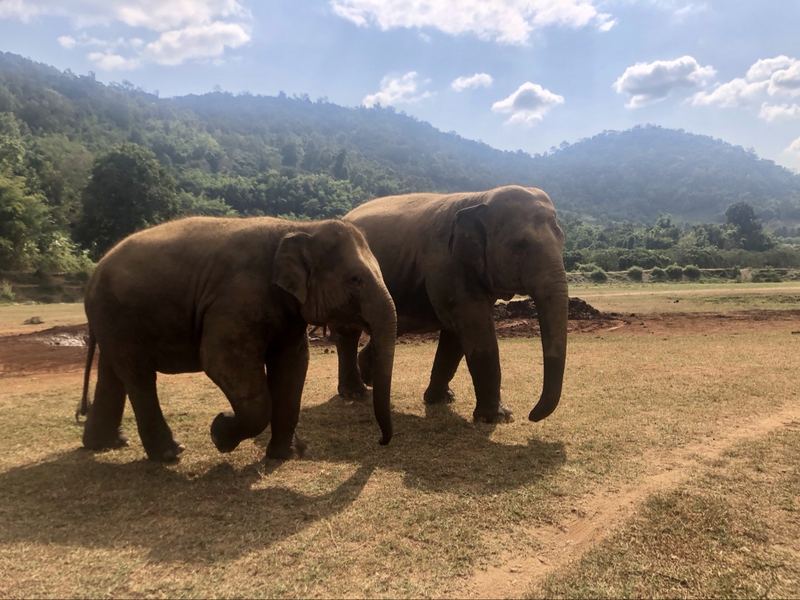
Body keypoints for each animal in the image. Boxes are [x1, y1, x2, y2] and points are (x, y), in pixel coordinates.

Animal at [77, 216, 397, 462]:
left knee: (113, 373)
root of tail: (93, 275)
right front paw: (220, 434)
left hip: (114, 320)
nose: (381, 441)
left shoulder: (288, 314)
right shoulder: (236, 299)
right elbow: (220, 360)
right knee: (139, 376)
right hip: (117, 314)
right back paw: (170, 454)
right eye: (355, 280)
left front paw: (285, 455)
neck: (300, 227)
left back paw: (107, 444)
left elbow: (292, 365)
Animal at [333, 185, 567, 424]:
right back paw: (355, 393)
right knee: (347, 334)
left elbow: (455, 337)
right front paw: (499, 417)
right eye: (519, 245)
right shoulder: (446, 266)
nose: (531, 416)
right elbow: (474, 329)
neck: (480, 197)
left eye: (562, 240)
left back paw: (368, 380)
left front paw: (441, 399)